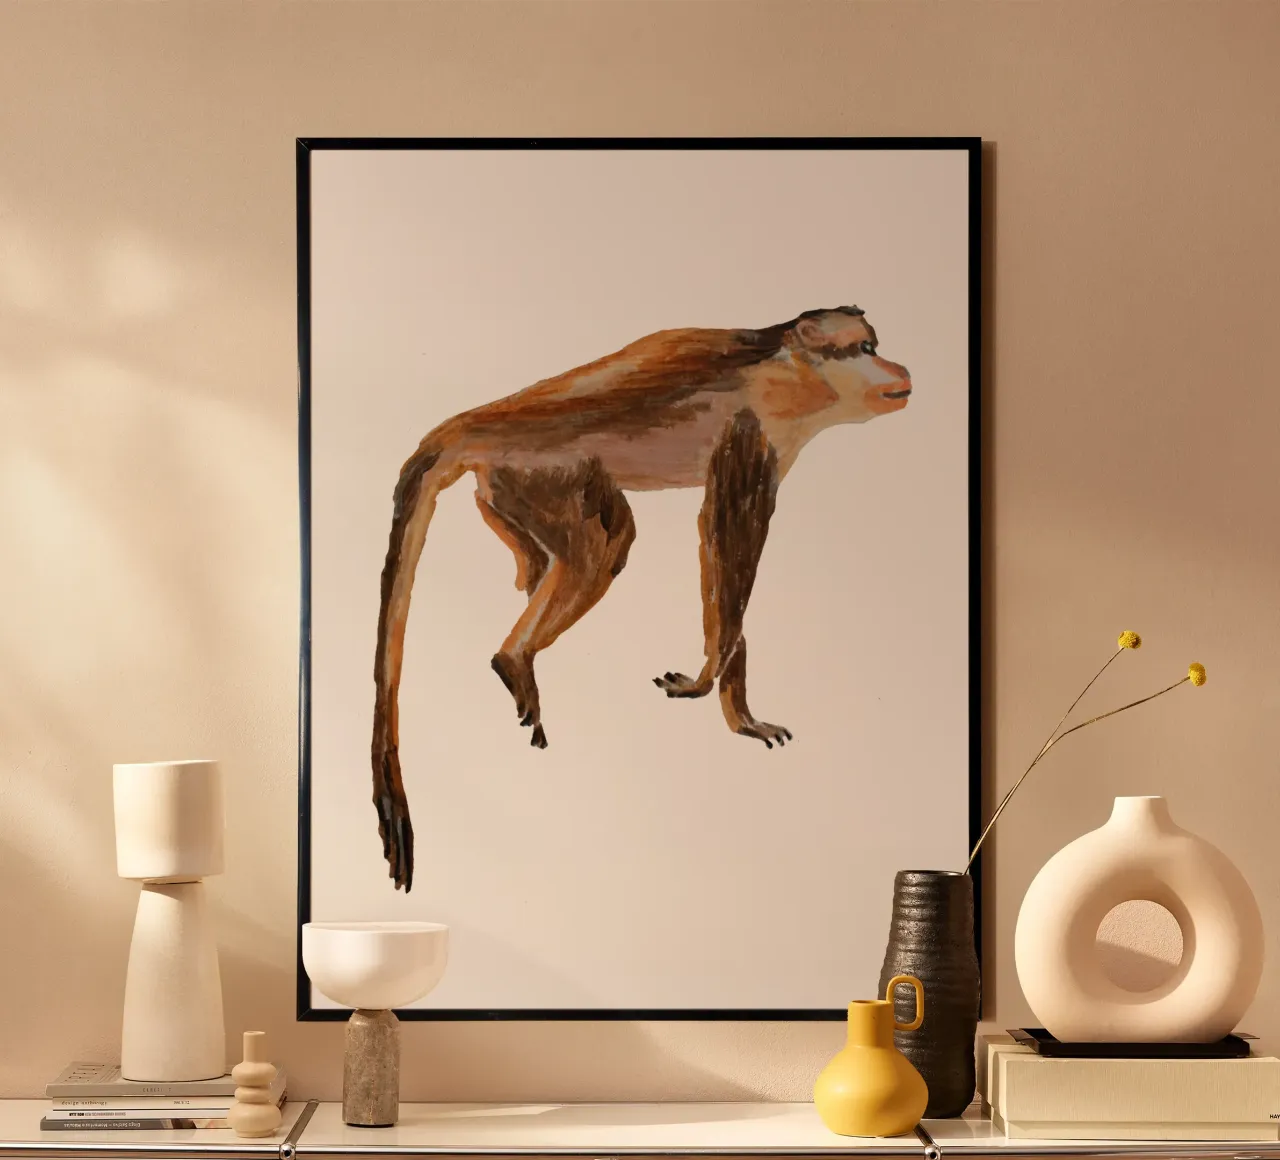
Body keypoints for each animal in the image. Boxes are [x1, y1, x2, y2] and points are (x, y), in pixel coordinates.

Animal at [370, 306, 912, 890]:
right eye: (865, 349)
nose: (896, 368)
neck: (787, 363)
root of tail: (474, 423)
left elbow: (723, 568)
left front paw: (739, 712)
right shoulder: (752, 426)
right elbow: (725, 539)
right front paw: (705, 681)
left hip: (505, 487)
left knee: (550, 556)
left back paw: (523, 619)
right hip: (541, 468)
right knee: (607, 542)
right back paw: (513, 657)